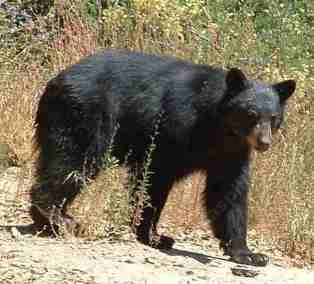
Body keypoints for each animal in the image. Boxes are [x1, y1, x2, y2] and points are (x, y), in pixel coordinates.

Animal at [30, 51, 296, 266]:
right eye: (251, 114)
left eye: (273, 117)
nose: (264, 143)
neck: (218, 127)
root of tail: (55, 81)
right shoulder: (173, 129)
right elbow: (153, 180)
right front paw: (152, 235)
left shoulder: (232, 152)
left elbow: (228, 193)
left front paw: (248, 253)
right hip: (85, 117)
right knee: (72, 162)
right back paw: (57, 219)